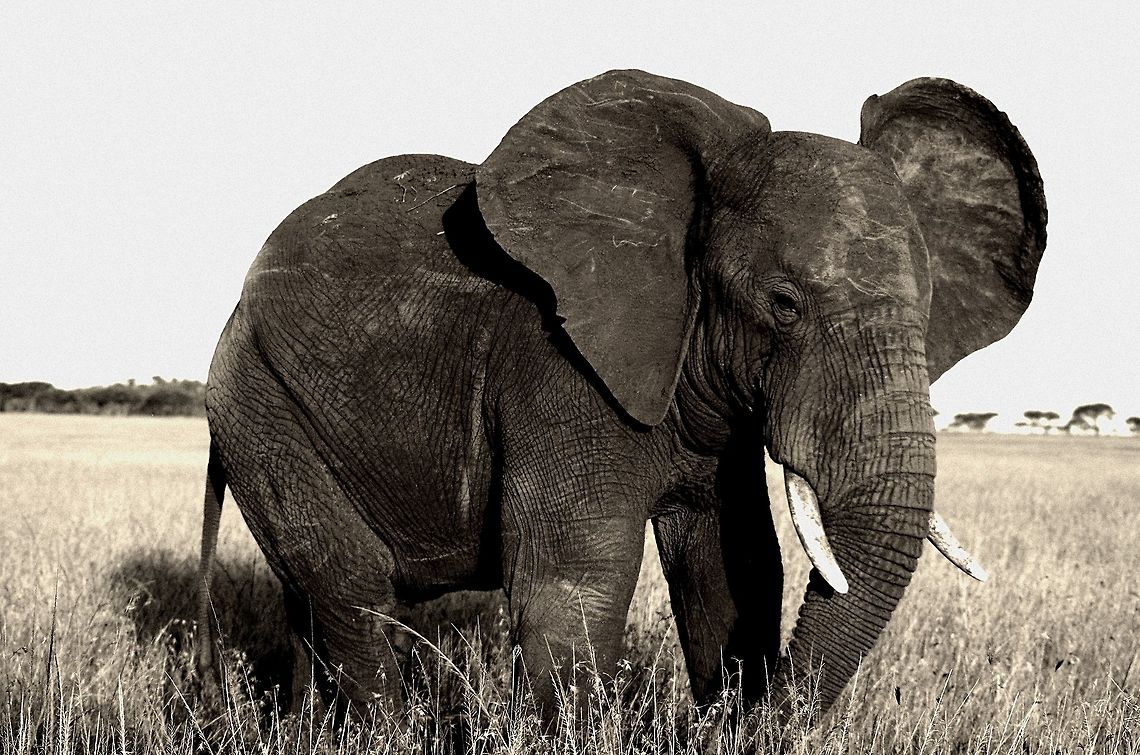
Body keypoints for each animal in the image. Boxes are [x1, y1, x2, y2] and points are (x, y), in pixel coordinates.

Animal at [196, 69, 1046, 725]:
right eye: (783, 304)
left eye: (930, 311)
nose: (757, 721)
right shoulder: (557, 370)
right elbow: (580, 581)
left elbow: (736, 565)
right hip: (255, 397)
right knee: (351, 583)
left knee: (310, 596)